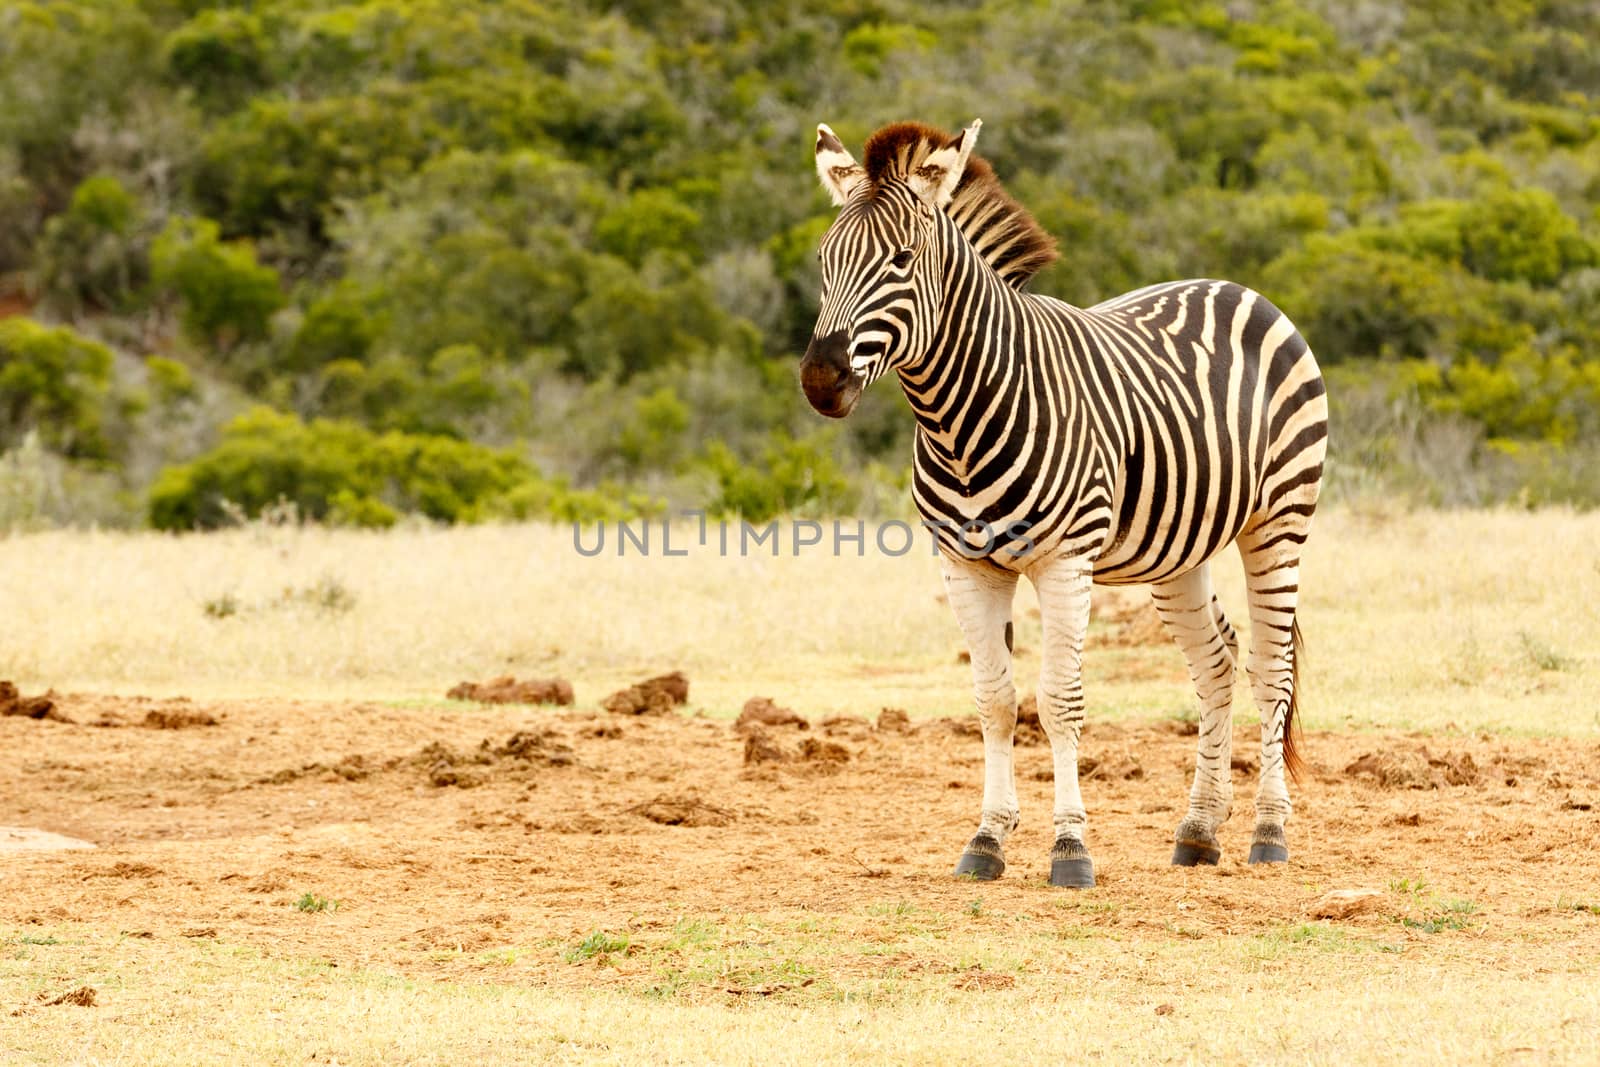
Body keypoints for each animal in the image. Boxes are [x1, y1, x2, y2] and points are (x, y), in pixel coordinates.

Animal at [806, 119, 1331, 883]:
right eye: (824, 259)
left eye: (902, 259)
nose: (820, 379)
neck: (957, 421)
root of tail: (1233, 287)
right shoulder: (965, 566)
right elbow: (995, 702)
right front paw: (987, 839)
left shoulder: (1063, 560)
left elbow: (1058, 701)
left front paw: (1070, 848)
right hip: (1180, 548)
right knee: (1217, 662)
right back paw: (1199, 830)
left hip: (1279, 519)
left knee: (1272, 668)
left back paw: (1268, 830)